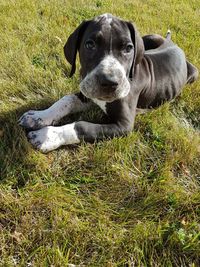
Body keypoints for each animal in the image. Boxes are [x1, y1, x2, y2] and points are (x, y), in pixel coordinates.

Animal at [19, 13, 198, 154]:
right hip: (149, 37)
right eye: (89, 44)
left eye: (128, 48)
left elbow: (82, 126)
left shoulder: (124, 125)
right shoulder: (89, 94)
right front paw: (38, 117)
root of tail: (173, 44)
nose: (109, 82)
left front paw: (46, 136)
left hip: (194, 74)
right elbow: (66, 100)